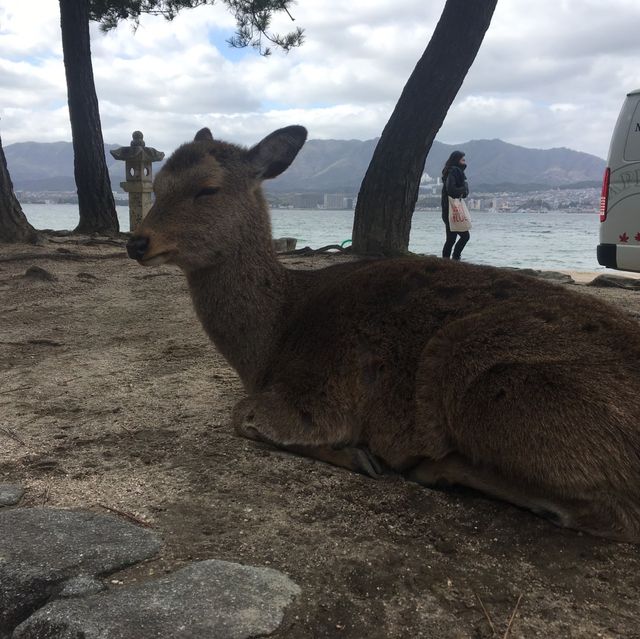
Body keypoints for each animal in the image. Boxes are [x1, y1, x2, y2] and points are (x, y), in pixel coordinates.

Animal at [127, 126, 640, 544]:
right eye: (157, 184)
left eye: (207, 189)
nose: (136, 242)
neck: (269, 344)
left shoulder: (320, 393)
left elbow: (242, 415)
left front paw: (358, 456)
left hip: (484, 374)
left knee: (613, 515)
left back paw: (435, 467)